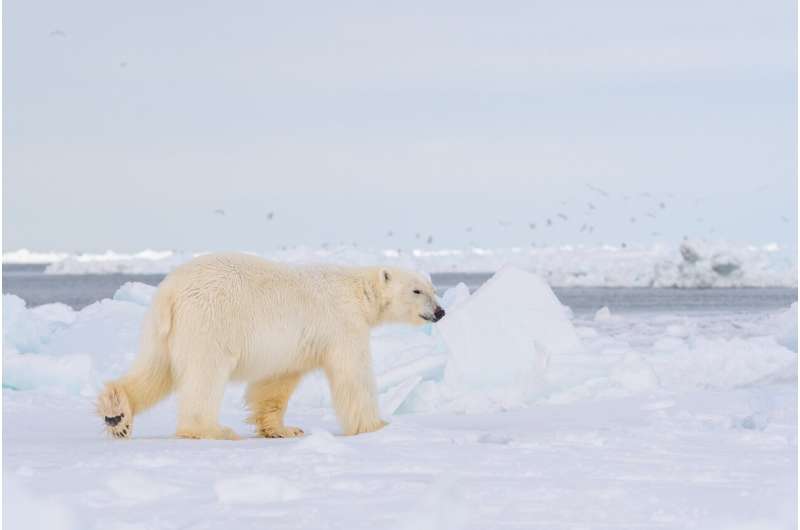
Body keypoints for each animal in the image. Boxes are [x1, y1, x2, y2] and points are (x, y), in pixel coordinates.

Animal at [96, 252, 444, 438]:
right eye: (417, 290)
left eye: (433, 288)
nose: (440, 311)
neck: (358, 292)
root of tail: (170, 289)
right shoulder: (342, 324)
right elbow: (353, 376)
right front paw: (377, 425)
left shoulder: (294, 344)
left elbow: (276, 381)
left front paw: (283, 429)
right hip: (210, 321)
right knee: (204, 376)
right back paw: (212, 430)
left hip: (164, 330)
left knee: (156, 369)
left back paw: (117, 414)